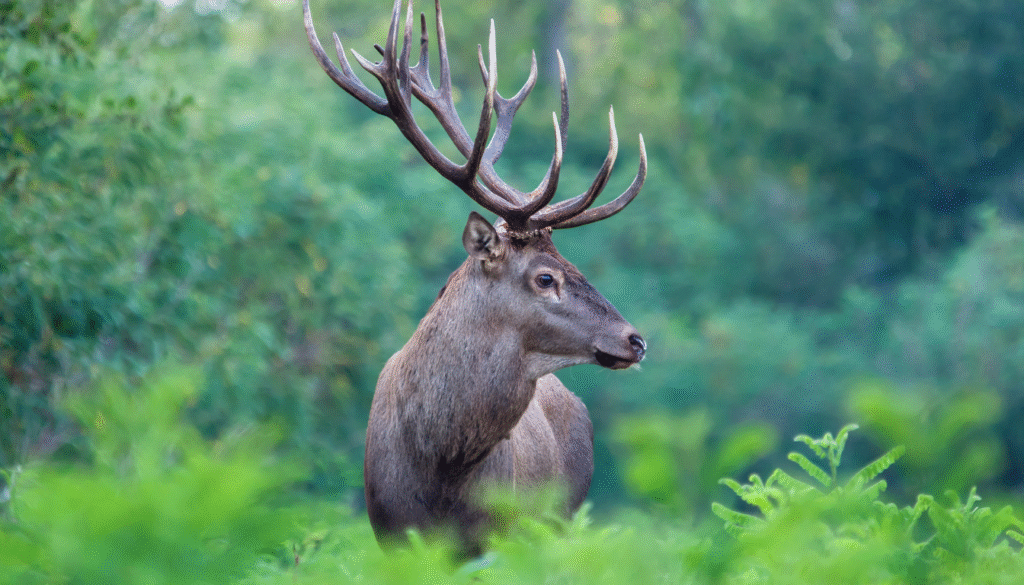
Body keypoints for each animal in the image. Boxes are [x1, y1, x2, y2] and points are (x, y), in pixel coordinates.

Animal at [303, 0, 647, 554]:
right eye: (546, 277)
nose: (635, 340)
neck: (439, 465)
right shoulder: (388, 533)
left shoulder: (496, 537)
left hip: (560, 522)